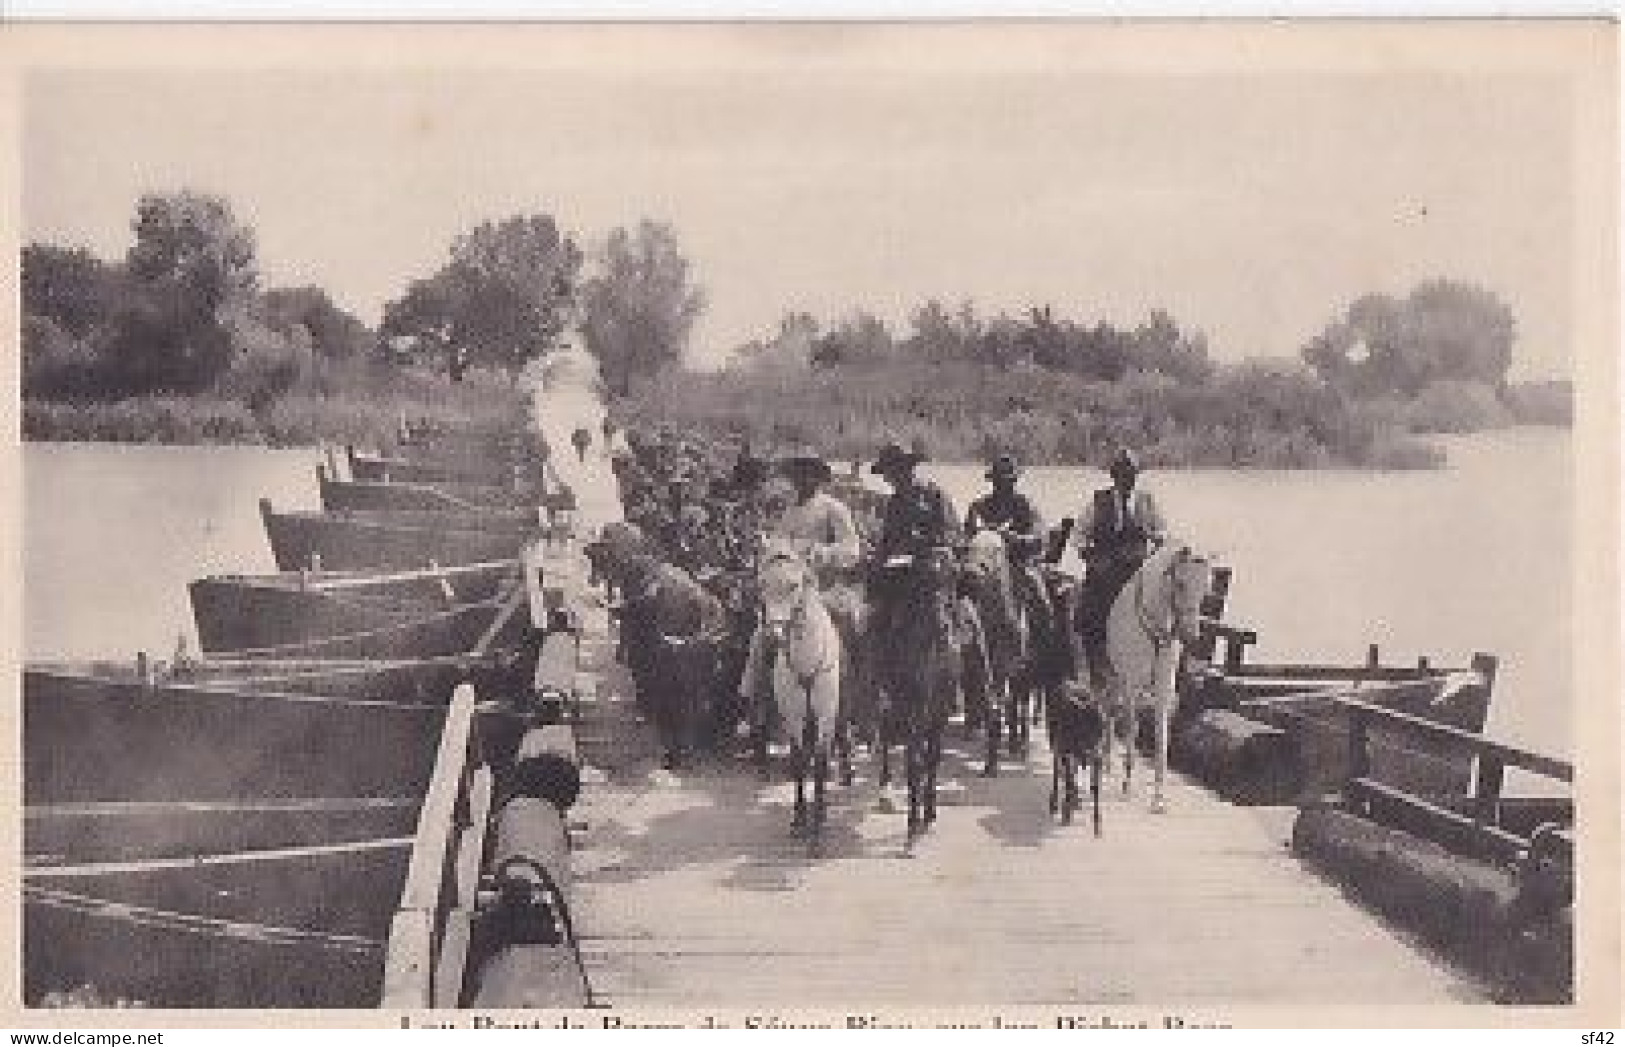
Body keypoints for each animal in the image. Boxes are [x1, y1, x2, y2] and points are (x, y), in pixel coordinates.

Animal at [757, 539, 845, 851]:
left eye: (794, 585)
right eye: (762, 583)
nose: (774, 636)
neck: (806, 660)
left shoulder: (825, 714)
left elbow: (819, 762)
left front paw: (817, 828)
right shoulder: (793, 715)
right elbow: (797, 761)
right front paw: (799, 819)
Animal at [1098, 543, 1215, 812]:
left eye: (1205, 589)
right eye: (1180, 583)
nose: (1191, 635)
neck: (1155, 632)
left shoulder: (1163, 689)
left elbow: (1162, 736)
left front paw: (1158, 798)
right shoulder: (1132, 685)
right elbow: (1132, 728)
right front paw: (1127, 786)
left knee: (1112, 710)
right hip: (1113, 675)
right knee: (1109, 710)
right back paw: (1106, 761)